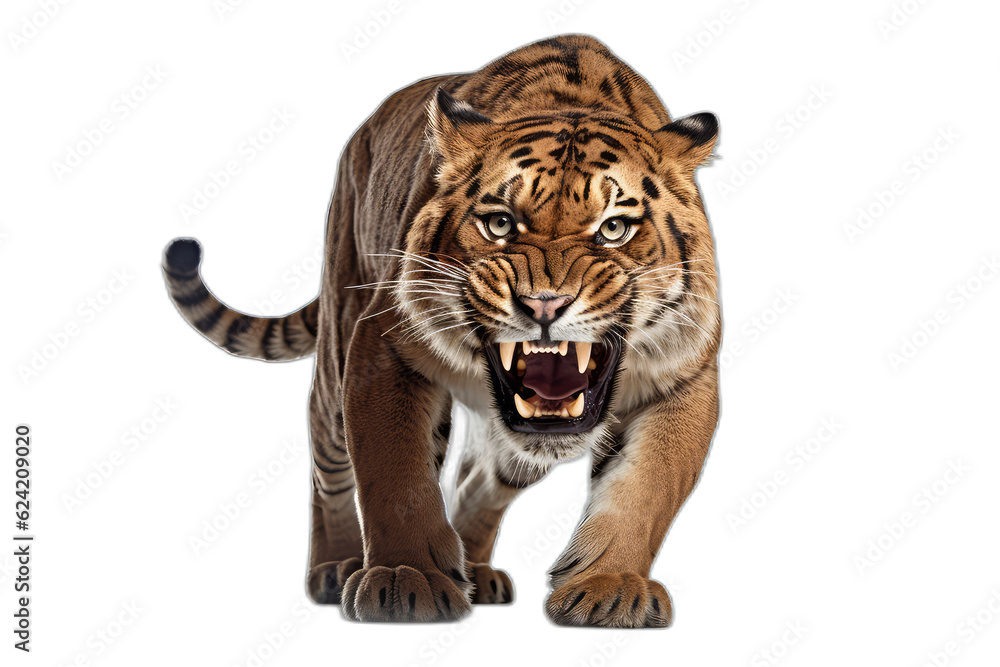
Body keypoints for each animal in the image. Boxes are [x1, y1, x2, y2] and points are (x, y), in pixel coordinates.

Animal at [162, 34, 720, 628]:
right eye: (499, 223)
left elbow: (646, 489)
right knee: (327, 466)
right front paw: (405, 579)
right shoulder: (382, 347)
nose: (544, 304)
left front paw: (610, 588)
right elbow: (396, 474)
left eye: (614, 228)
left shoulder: (687, 375)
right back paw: (333, 568)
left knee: (479, 482)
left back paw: (475, 573)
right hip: (336, 350)